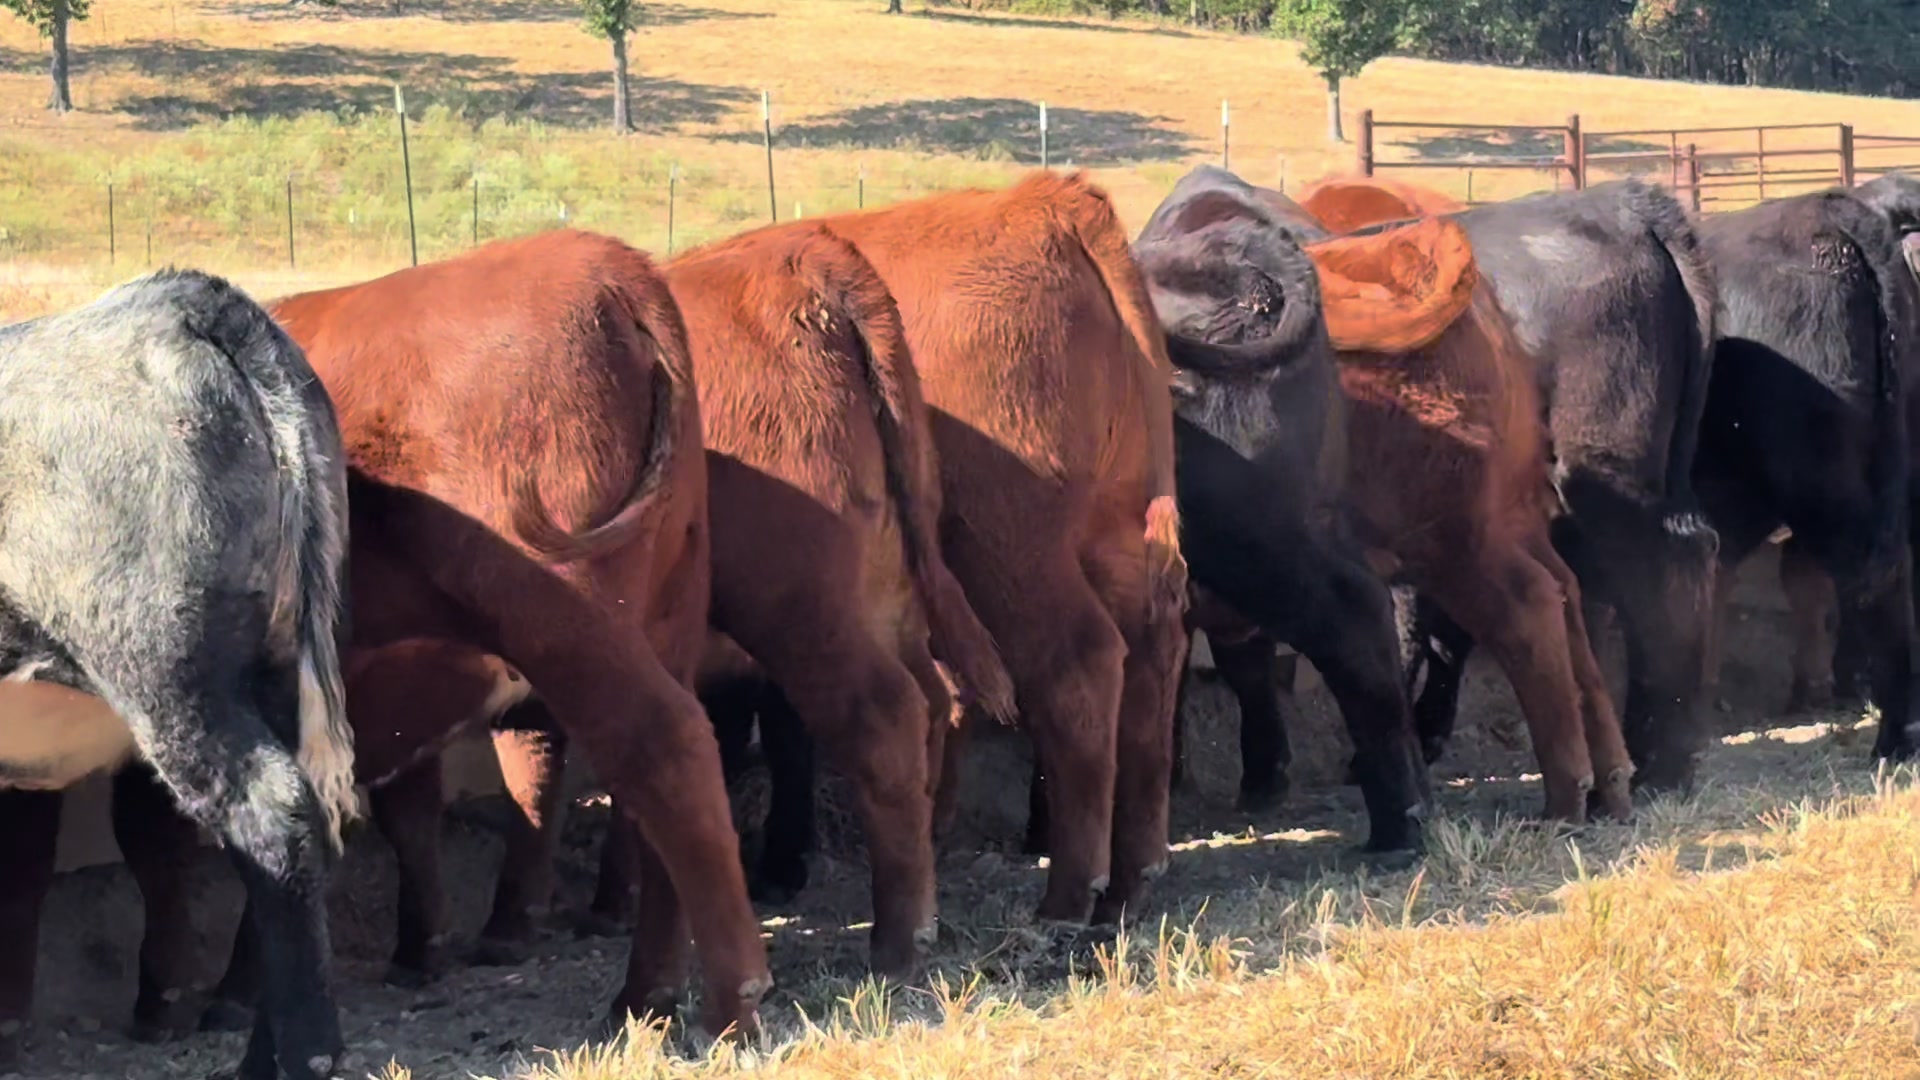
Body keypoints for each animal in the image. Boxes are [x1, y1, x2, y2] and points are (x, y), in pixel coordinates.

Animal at [197, 229, 774, 1041]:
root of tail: (614, 268)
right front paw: (417, 948)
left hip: (566, 613)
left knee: (668, 745)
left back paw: (729, 1002)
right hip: (668, 602)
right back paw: (647, 989)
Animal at [1141, 166, 1635, 825]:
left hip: (1448, 544)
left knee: (1520, 609)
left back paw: (1562, 794)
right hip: (1505, 522)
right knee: (1563, 595)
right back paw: (1609, 779)